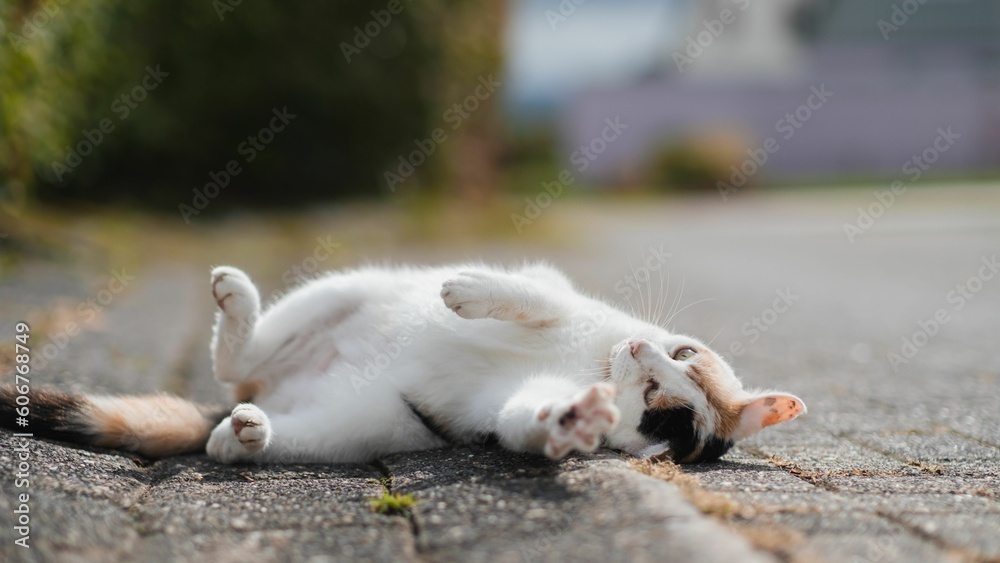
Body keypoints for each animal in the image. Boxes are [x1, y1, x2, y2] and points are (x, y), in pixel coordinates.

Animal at [0, 262, 804, 464]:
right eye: (681, 353)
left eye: (660, 412)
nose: (640, 350)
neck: (588, 361)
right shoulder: (559, 293)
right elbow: (535, 296)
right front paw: (473, 293)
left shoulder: (513, 409)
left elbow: (525, 420)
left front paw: (570, 420)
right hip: (345, 290)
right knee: (239, 361)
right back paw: (239, 305)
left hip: (350, 429)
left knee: (231, 415)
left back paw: (245, 432)